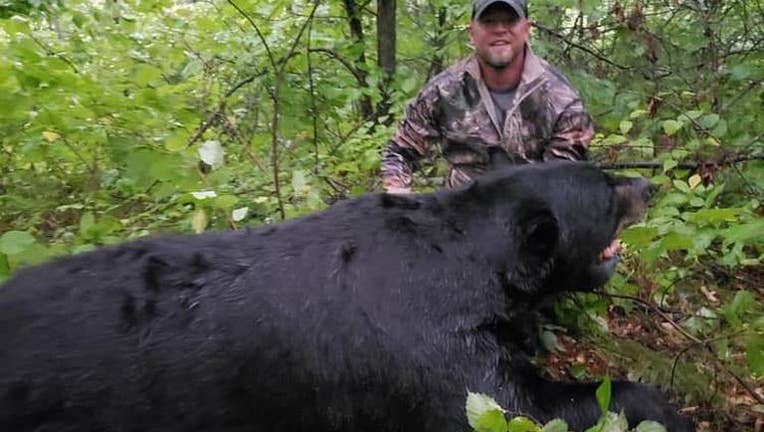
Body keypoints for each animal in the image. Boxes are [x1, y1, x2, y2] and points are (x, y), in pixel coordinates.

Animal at [0, 162, 692, 432]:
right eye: (606, 190)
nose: (649, 186)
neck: (463, 259)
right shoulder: (428, 349)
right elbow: (511, 405)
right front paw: (665, 406)